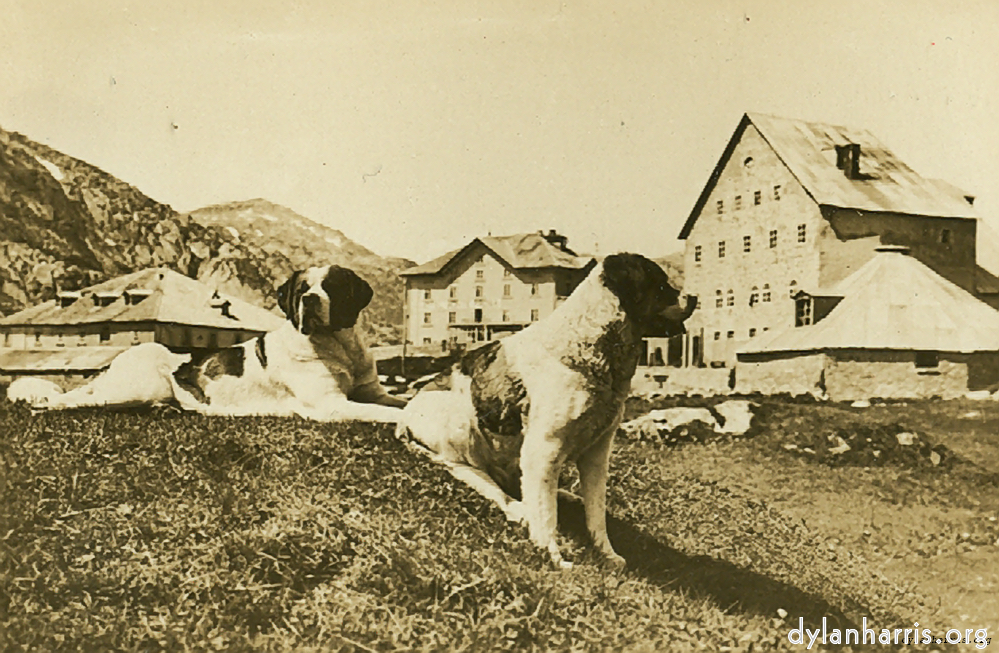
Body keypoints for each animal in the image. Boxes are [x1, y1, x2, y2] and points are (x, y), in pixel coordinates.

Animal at [13, 264, 404, 422]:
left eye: (332, 287)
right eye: (302, 289)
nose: (309, 300)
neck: (340, 345)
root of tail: (119, 360)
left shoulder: (372, 390)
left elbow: (396, 401)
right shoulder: (330, 405)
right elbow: (381, 413)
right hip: (139, 384)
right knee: (76, 403)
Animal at [398, 252, 696, 568]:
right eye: (661, 283)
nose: (694, 296)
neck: (587, 350)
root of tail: (406, 414)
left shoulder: (597, 452)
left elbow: (596, 511)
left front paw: (608, 554)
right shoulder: (543, 449)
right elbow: (545, 513)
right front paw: (552, 555)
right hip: (460, 424)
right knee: (477, 476)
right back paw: (516, 507)